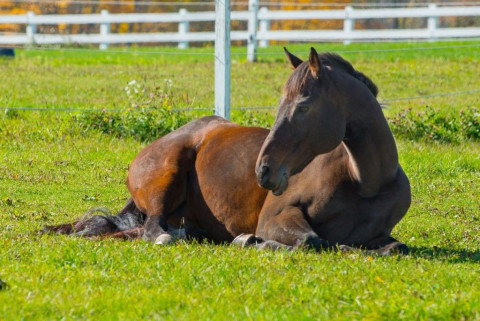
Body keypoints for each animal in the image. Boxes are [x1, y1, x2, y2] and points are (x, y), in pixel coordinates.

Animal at [44, 47, 408, 255]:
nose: (263, 170)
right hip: (165, 177)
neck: (363, 182)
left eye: (303, 106)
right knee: (153, 230)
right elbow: (311, 241)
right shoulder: (276, 217)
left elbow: (396, 248)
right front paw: (251, 241)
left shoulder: (381, 235)